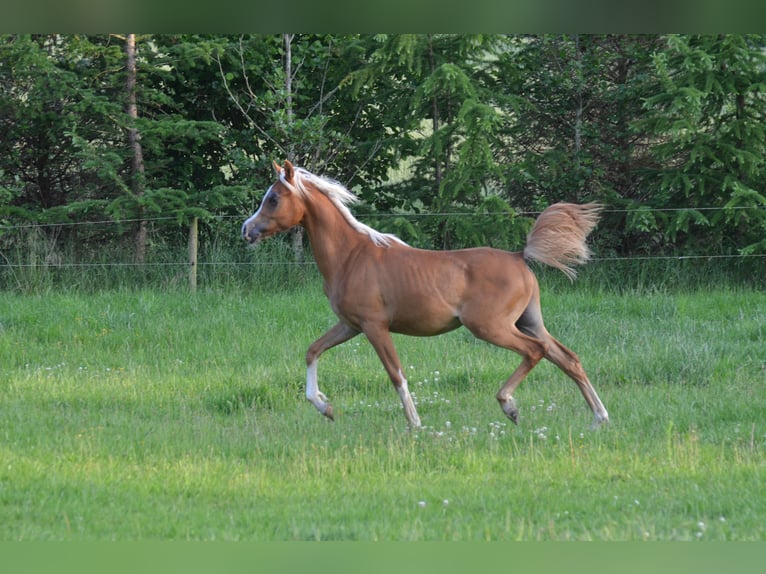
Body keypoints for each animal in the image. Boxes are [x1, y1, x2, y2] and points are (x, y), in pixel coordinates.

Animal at [242, 160, 609, 429]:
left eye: (273, 198)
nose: (247, 230)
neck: (351, 256)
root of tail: (520, 257)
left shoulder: (374, 327)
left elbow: (396, 374)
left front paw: (416, 424)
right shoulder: (350, 325)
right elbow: (312, 350)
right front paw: (325, 407)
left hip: (491, 327)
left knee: (535, 352)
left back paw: (510, 406)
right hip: (529, 321)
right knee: (567, 357)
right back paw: (599, 418)